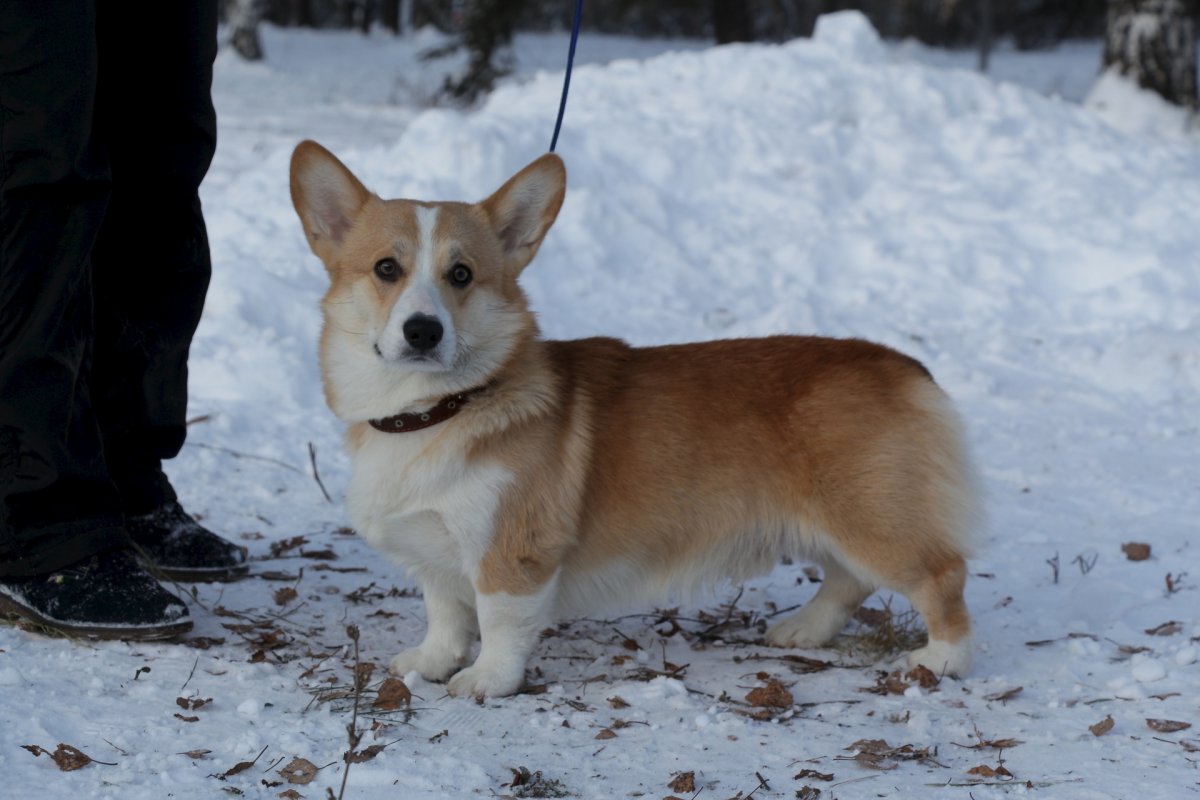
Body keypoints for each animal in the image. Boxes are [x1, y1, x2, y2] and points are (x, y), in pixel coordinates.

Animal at [292, 140, 984, 695]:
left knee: (941, 576)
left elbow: (499, 620)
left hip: (871, 519)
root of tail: (905, 367)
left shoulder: (512, 553)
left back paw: (939, 661)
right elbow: (445, 613)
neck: (437, 409)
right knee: (847, 580)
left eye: (461, 274)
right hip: (832, 519)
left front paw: (487, 680)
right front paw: (431, 662)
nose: (423, 331)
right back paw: (804, 628)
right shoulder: (436, 549)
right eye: (386, 268)